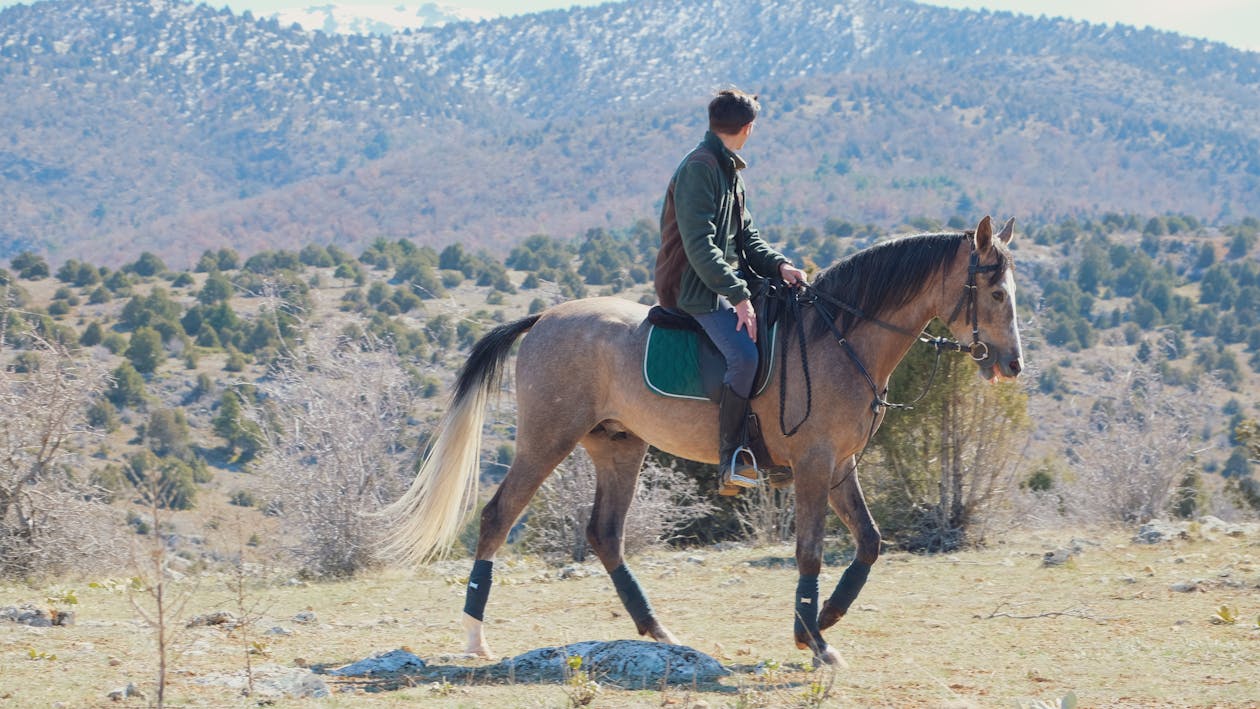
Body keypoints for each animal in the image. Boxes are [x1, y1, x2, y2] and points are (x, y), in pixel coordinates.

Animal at [383, 214, 1023, 669]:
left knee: (605, 535)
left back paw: (659, 633)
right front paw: (814, 640)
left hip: (618, 446)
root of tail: (544, 317)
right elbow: (811, 552)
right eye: (996, 295)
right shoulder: (815, 465)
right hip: (548, 438)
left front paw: (823, 621)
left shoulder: (841, 466)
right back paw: (474, 639)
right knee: (498, 517)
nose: (1012, 365)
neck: (839, 338)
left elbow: (869, 543)